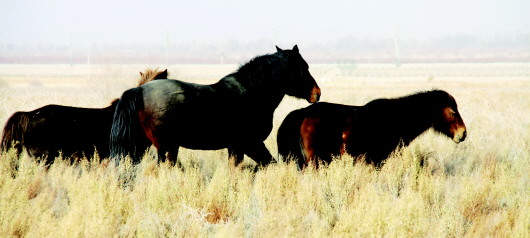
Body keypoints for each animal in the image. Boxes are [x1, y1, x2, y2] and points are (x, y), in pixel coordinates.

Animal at [109, 45, 320, 166]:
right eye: (304, 67)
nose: (316, 93)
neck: (253, 92)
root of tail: (138, 91)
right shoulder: (250, 144)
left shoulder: (235, 148)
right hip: (167, 147)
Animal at [276, 89, 466, 169]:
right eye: (453, 111)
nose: (462, 133)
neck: (395, 118)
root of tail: (302, 113)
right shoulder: (376, 161)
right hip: (314, 161)